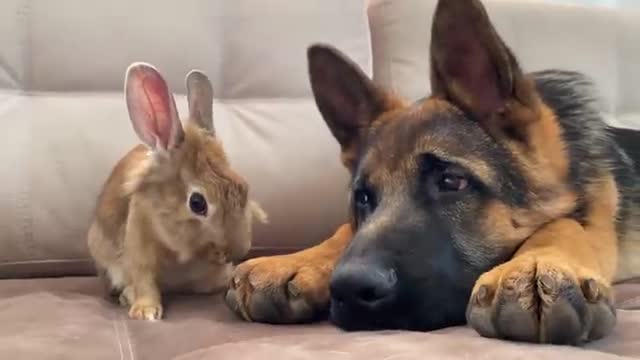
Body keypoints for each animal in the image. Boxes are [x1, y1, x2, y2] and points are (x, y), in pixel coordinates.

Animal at [86, 62, 266, 320]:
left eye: (243, 186)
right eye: (197, 203)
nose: (238, 250)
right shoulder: (139, 237)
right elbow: (144, 277)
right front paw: (146, 312)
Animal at [228, 0, 636, 346]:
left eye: (451, 181)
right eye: (363, 198)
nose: (348, 289)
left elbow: (563, 223)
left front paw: (537, 264)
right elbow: (346, 230)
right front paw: (294, 261)